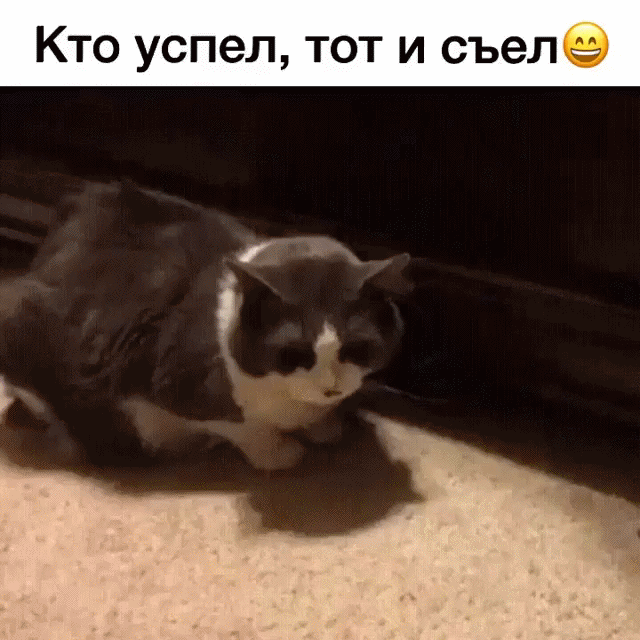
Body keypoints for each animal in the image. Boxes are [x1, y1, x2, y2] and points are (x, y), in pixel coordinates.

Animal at [0, 179, 413, 470]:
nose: (330, 388)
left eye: (356, 348)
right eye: (293, 353)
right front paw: (279, 453)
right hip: (15, 312)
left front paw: (324, 427)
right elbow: (240, 425)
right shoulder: (181, 384)